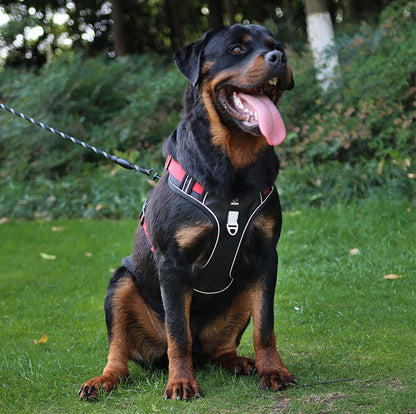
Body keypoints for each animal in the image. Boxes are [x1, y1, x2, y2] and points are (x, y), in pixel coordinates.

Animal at [79, 23, 296, 402]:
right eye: (237, 48)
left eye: (276, 46)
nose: (279, 57)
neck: (232, 171)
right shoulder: (173, 262)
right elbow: (178, 333)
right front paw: (181, 383)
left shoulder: (266, 257)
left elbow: (265, 326)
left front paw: (273, 370)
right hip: (120, 284)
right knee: (122, 350)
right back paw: (104, 380)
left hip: (240, 291)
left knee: (221, 346)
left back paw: (240, 362)